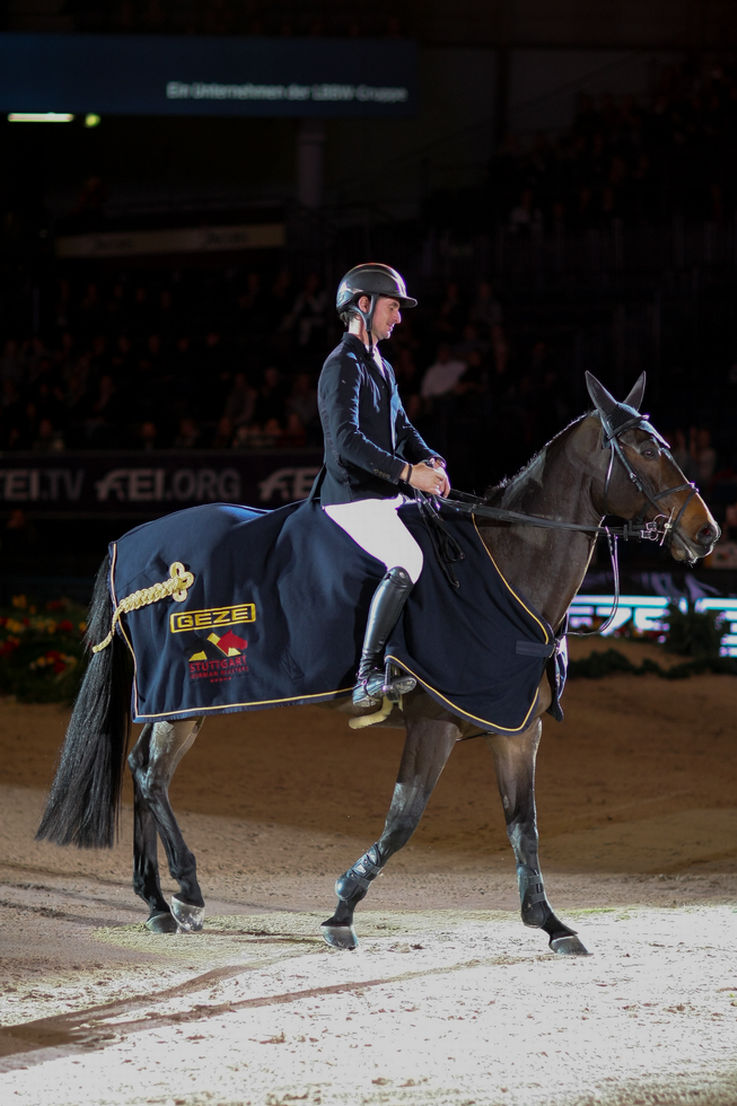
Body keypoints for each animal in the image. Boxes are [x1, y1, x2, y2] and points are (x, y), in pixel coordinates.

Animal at [35, 369, 717, 951]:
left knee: (142, 771)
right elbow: (403, 821)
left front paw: (549, 923)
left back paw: (156, 901)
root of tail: (129, 542)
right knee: (152, 777)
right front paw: (341, 910)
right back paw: (190, 893)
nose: (706, 532)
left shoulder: (516, 727)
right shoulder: (434, 724)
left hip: (175, 701)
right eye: (646, 447)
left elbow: (524, 825)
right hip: (183, 698)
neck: (506, 570)